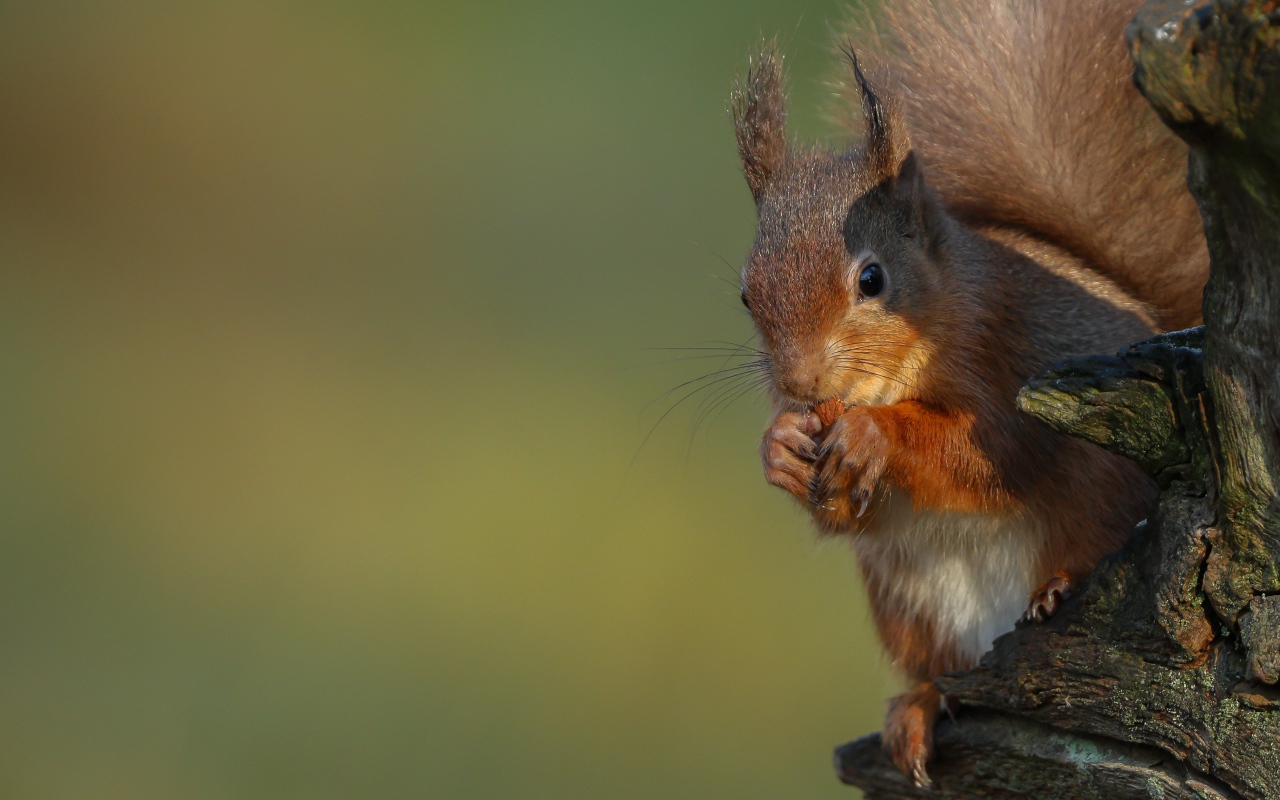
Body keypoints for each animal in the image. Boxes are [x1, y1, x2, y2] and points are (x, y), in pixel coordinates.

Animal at [732, 0, 1208, 788]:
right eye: (746, 295)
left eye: (872, 279)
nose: (799, 383)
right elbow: (844, 514)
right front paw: (779, 449)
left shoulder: (1007, 364)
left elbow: (988, 458)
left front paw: (878, 435)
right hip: (911, 607)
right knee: (943, 679)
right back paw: (920, 709)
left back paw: (1059, 585)